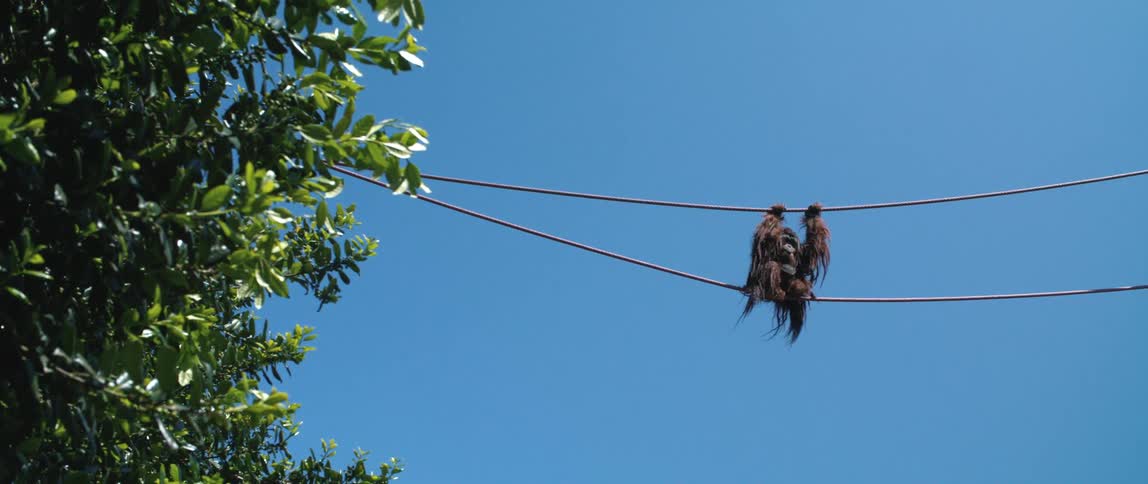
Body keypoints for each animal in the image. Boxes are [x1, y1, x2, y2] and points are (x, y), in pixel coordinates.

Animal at [740, 203, 830, 343]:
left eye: (792, 242)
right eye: (786, 240)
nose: (789, 246)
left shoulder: (801, 252)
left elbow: (810, 253)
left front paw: (812, 213)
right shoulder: (767, 242)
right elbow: (764, 237)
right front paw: (776, 212)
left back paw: (797, 290)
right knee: (771, 266)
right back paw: (776, 292)